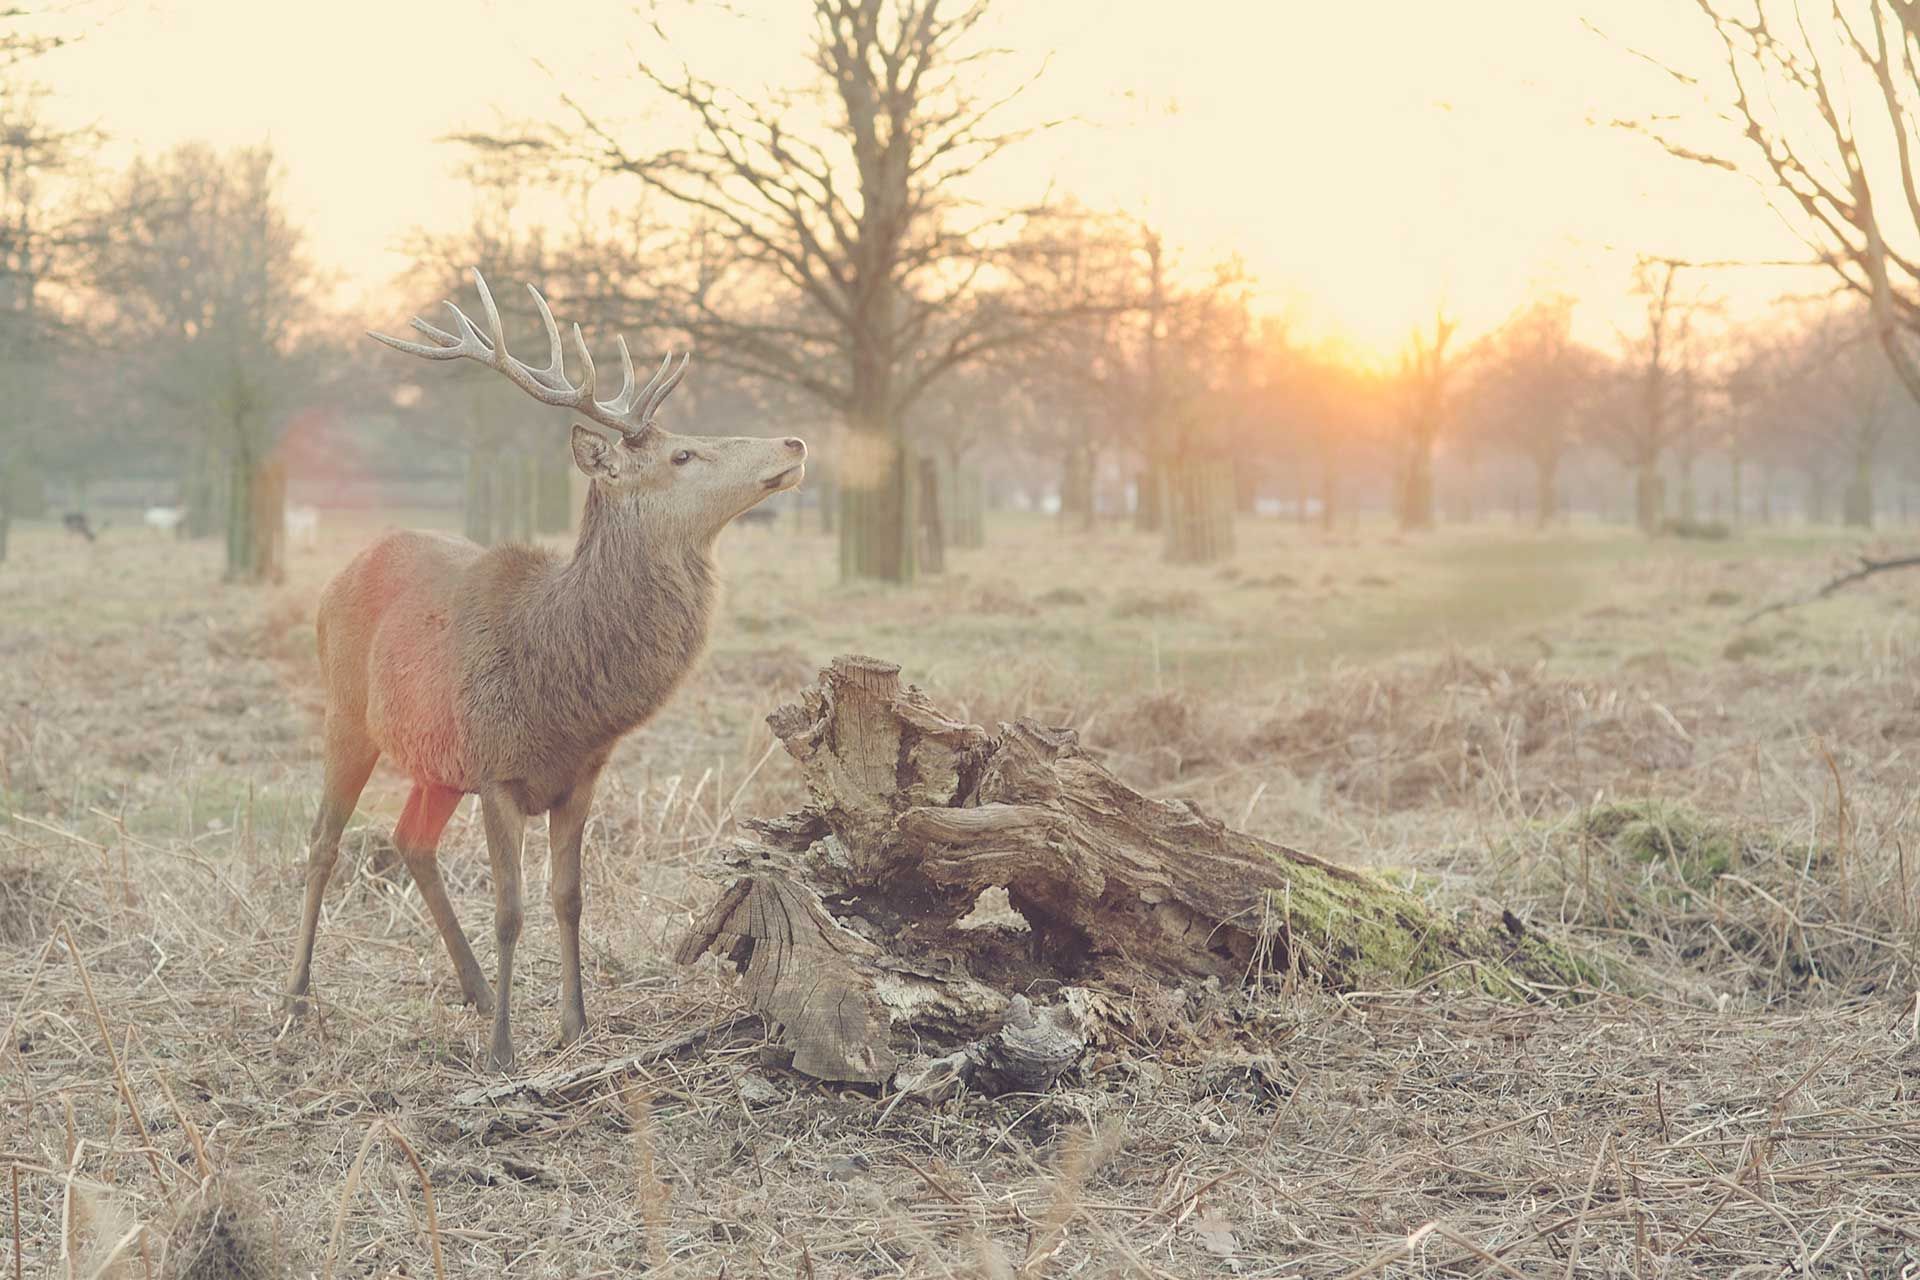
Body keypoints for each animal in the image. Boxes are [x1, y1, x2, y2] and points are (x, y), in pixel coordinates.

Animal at [282, 269, 806, 1071]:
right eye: (683, 456)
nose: (794, 439)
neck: (562, 689)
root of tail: (341, 571)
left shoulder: (580, 775)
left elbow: (569, 897)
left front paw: (575, 1025)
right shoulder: (498, 771)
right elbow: (510, 908)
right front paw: (504, 1050)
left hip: (437, 761)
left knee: (410, 840)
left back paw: (470, 987)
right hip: (346, 713)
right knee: (322, 842)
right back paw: (298, 999)